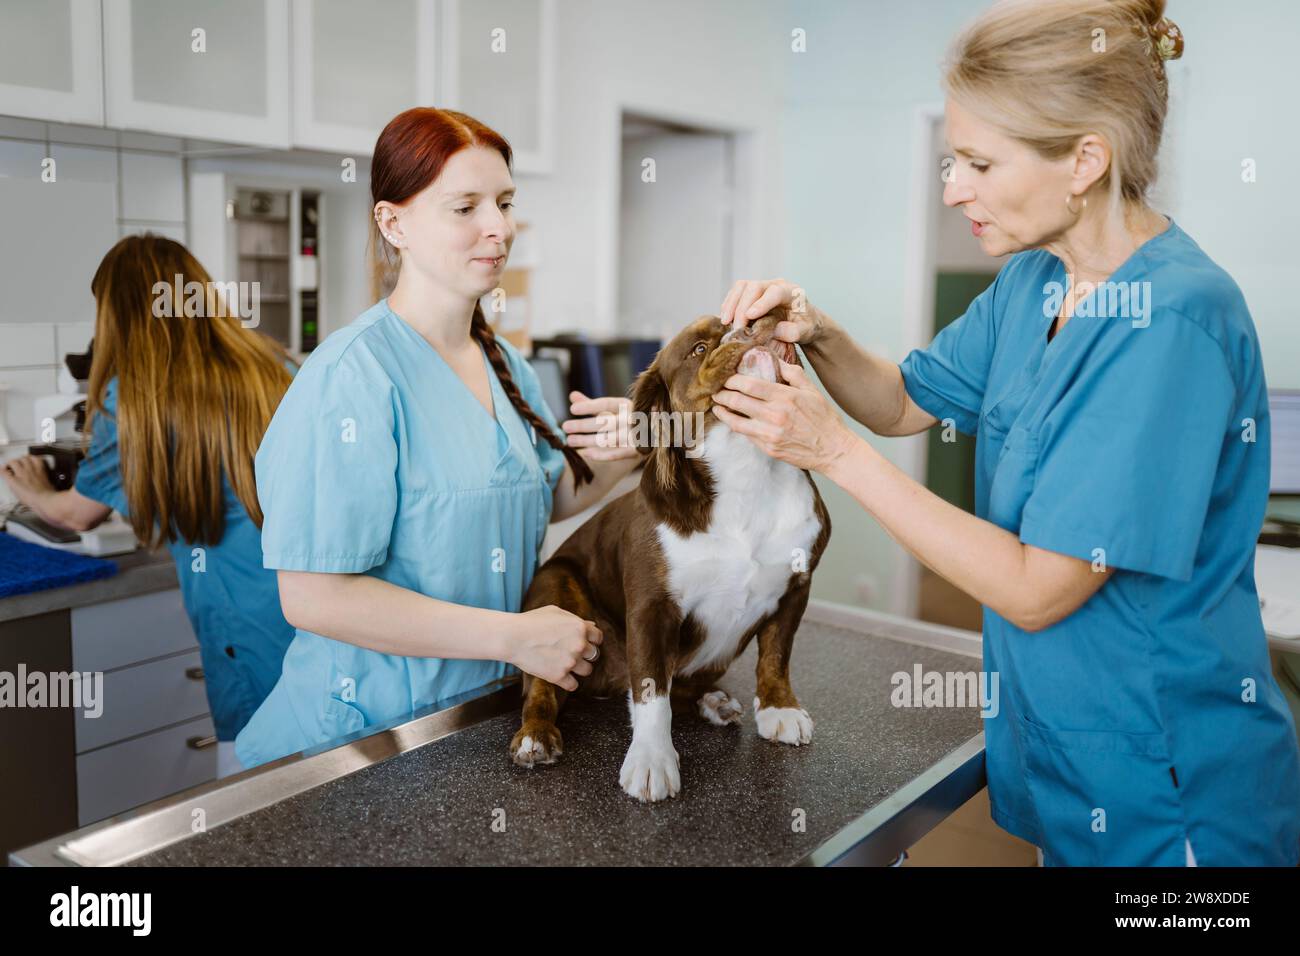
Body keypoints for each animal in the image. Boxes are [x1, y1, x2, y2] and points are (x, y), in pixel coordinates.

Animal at [509, 308, 832, 801]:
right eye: (698, 348)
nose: (755, 319)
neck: (747, 469)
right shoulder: (653, 607)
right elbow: (650, 693)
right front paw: (651, 759)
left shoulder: (796, 586)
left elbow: (776, 655)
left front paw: (779, 707)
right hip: (555, 592)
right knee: (543, 687)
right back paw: (536, 736)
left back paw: (713, 701)